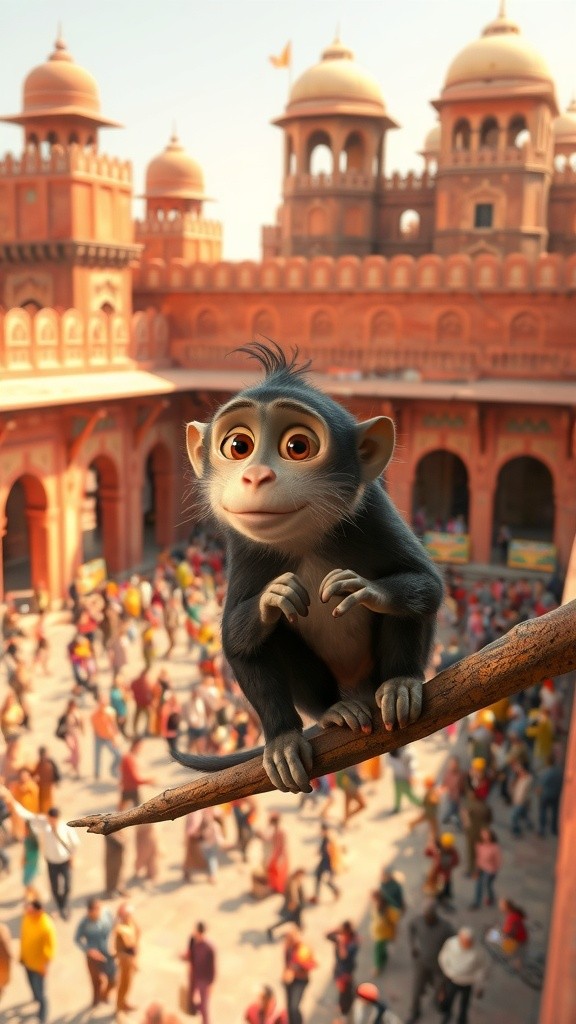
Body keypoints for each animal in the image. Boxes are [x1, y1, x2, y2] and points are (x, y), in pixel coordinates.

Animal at [173, 341, 444, 794]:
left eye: (298, 447)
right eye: (238, 446)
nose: (256, 475)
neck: (304, 539)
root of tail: (358, 690)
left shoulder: (372, 513)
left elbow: (428, 584)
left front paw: (364, 589)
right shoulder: (246, 549)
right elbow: (236, 642)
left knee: (410, 610)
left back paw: (400, 684)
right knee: (275, 638)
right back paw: (332, 711)